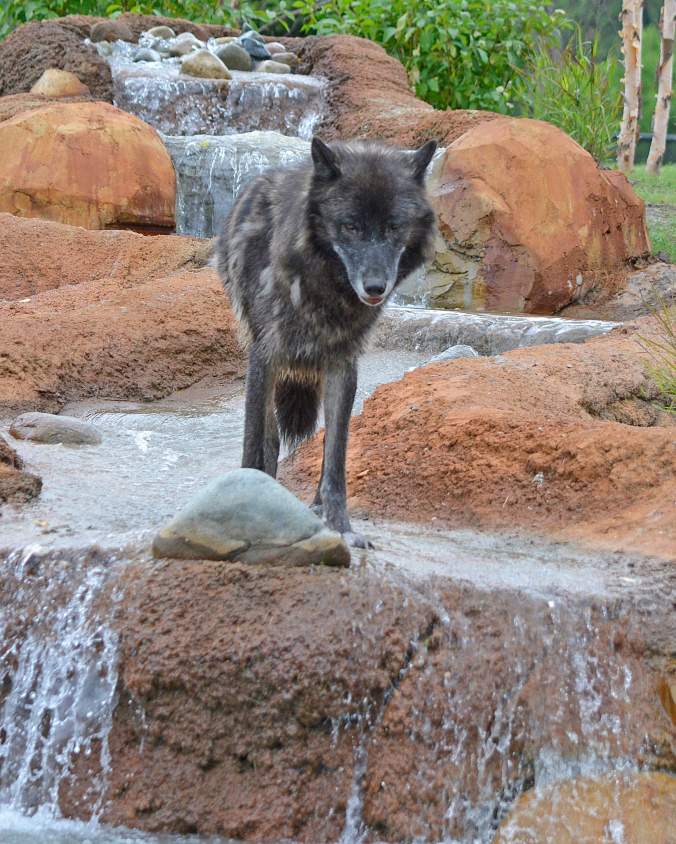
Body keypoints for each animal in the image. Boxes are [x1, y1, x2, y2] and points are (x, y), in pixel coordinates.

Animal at [216, 136, 437, 546]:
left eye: (394, 226)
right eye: (349, 226)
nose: (375, 287)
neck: (325, 288)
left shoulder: (342, 363)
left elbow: (335, 457)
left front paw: (342, 528)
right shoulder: (264, 355)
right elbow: (255, 442)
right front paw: (248, 501)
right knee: (270, 438)